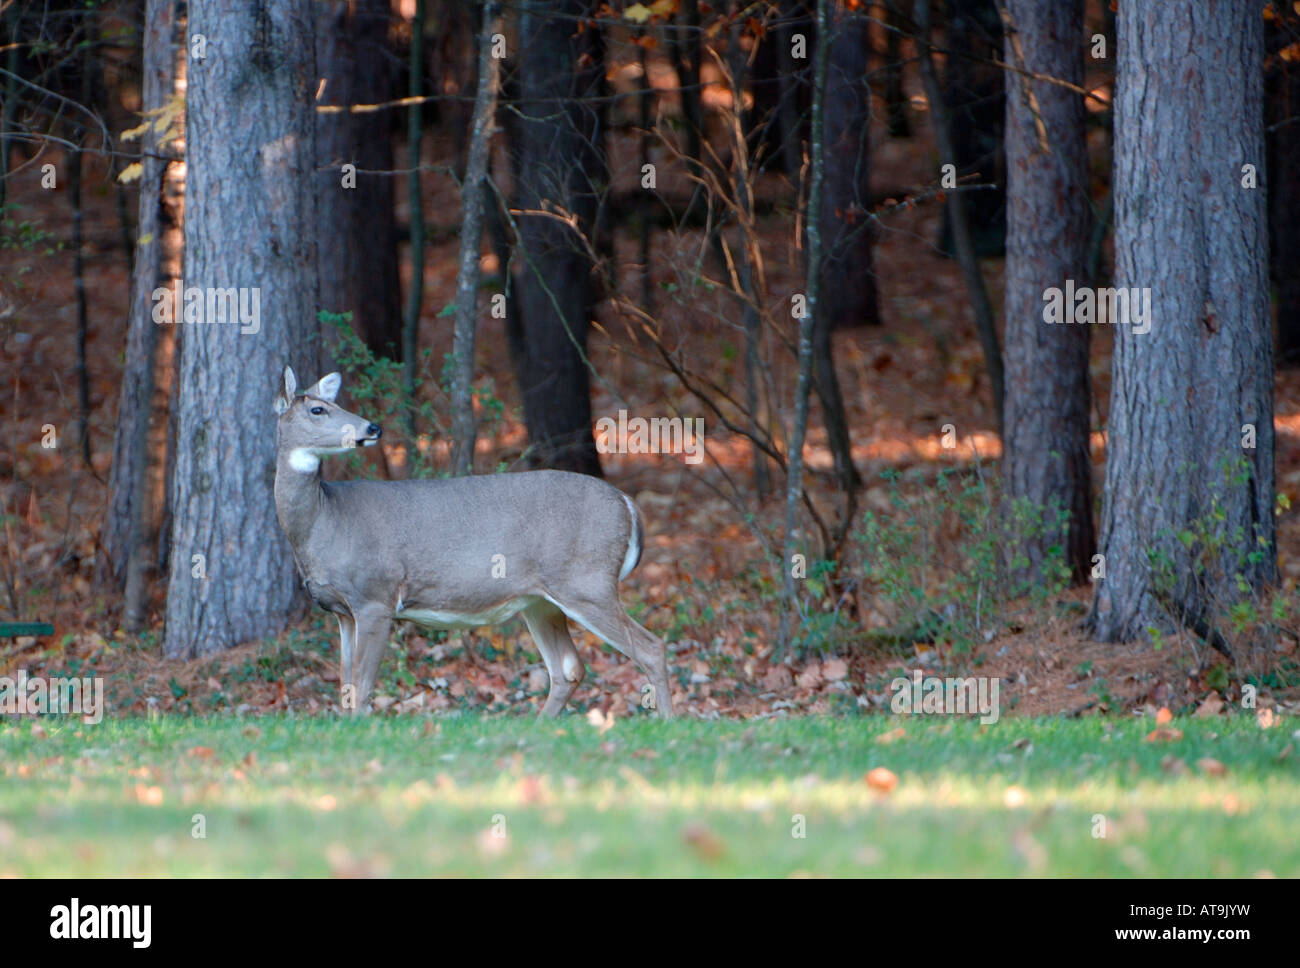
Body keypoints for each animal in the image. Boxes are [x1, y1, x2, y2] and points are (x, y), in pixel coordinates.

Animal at [272, 366, 675, 719]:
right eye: (318, 409)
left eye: (331, 404)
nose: (372, 427)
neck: (326, 521)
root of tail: (628, 505)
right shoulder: (343, 611)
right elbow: (345, 683)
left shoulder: (376, 596)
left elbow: (361, 684)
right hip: (541, 601)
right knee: (569, 668)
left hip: (587, 582)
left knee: (650, 648)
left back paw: (668, 723)